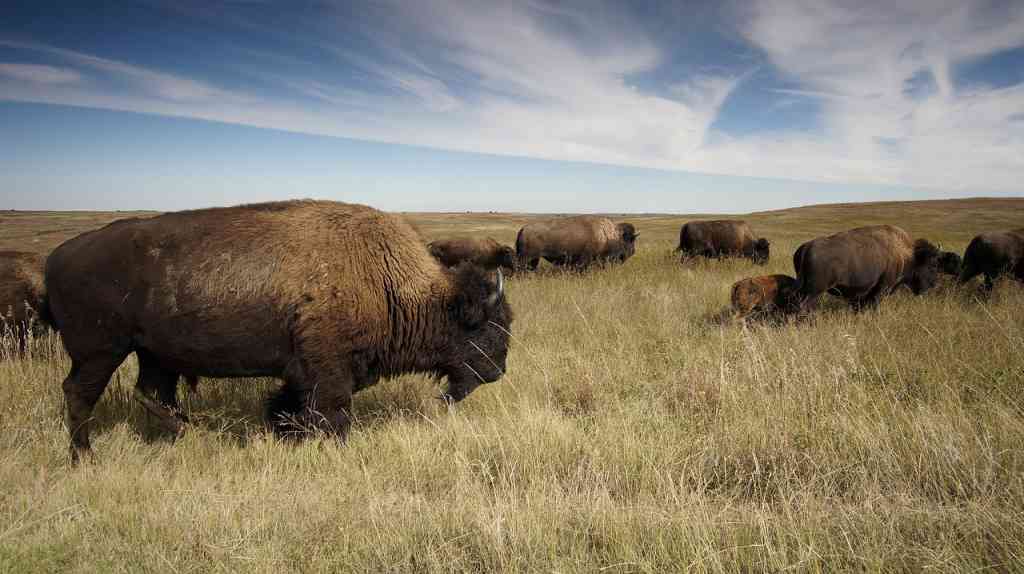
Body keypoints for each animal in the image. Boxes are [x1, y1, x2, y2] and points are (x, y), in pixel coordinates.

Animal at [46, 200, 512, 460]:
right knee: (80, 394)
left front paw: (284, 433)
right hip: (100, 352)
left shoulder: (303, 371)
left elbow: (290, 405)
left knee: (151, 393)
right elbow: (332, 412)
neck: (388, 279)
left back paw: (183, 435)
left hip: (155, 354)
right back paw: (85, 457)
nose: (499, 371)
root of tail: (57, 256)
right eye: (488, 327)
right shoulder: (329, 370)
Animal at [790, 224, 942, 313]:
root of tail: (806, 246)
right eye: (932, 264)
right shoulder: (881, 288)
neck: (906, 254)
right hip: (813, 291)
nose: (933, 284)